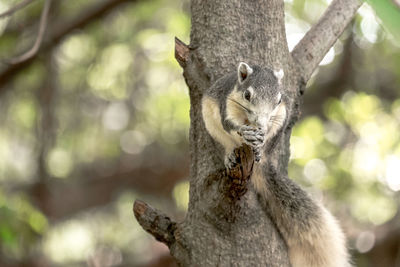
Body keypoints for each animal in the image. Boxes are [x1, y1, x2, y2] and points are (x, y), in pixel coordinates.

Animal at [202, 62, 348, 267]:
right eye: (247, 95)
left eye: (278, 100)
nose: (261, 123)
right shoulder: (227, 103)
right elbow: (229, 124)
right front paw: (244, 131)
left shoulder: (281, 113)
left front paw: (261, 136)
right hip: (213, 127)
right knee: (227, 144)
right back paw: (230, 155)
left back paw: (258, 151)